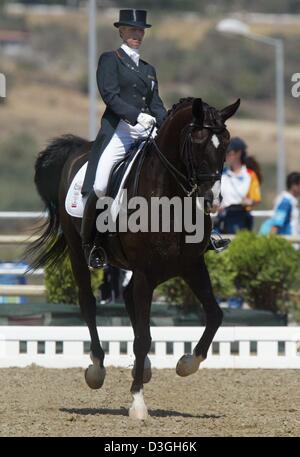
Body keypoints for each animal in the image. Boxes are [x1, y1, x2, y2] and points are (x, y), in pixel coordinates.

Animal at [27, 96, 240, 416]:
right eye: (198, 140)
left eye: (225, 142)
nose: (211, 199)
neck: (169, 197)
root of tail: (79, 149)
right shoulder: (146, 272)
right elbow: (142, 338)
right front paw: (138, 402)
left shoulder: (191, 265)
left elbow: (215, 314)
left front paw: (186, 364)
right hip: (80, 254)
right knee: (88, 305)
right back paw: (97, 369)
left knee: (128, 301)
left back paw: (146, 368)